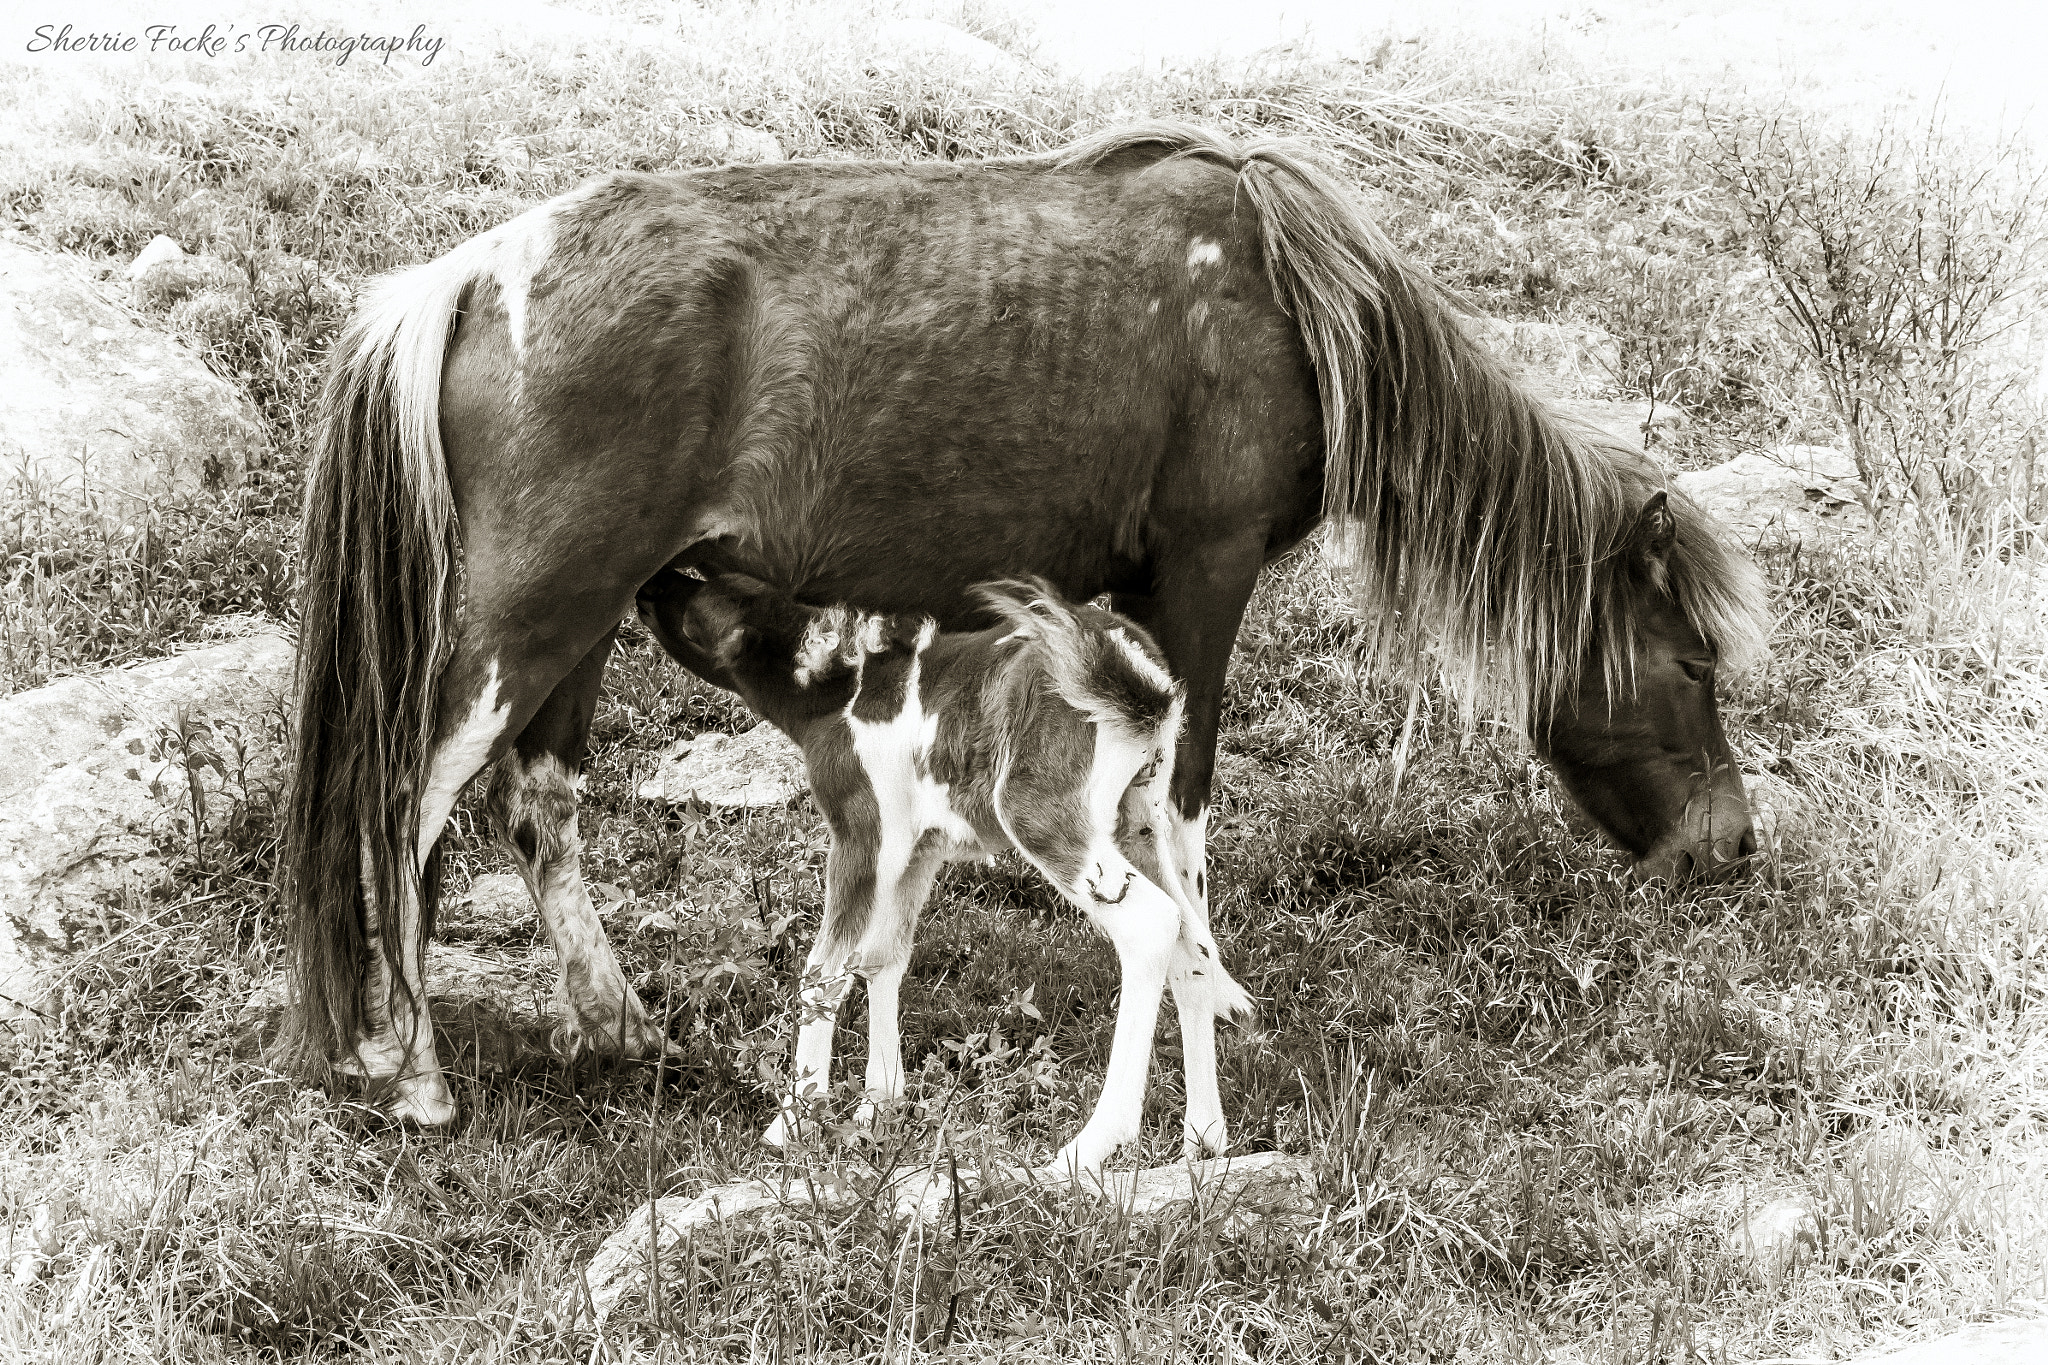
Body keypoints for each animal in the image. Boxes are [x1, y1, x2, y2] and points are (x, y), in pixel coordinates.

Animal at [636, 569, 1252, 1172]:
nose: (649, 588)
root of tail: (1138, 676)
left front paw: (791, 1124)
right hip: (1140, 821)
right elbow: (881, 957)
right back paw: (1206, 1136)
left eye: (700, 605)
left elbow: (824, 973)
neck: (833, 694)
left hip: (1039, 811)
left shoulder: (864, 832)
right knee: (1194, 944)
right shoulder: (920, 849)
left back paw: (1089, 1148)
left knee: (1150, 924)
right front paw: (877, 1107)